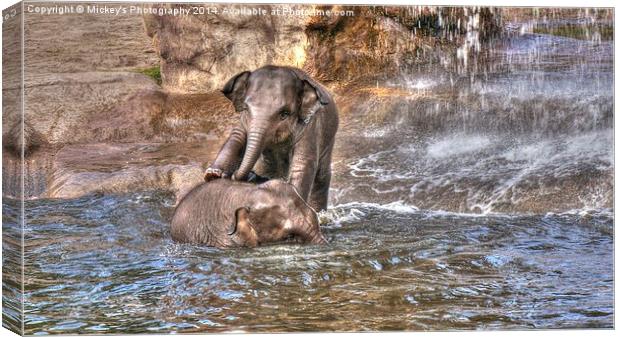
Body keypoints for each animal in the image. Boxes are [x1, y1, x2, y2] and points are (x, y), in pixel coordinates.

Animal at [203, 64, 340, 211]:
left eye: (284, 114)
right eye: (246, 108)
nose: (235, 175)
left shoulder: (310, 126)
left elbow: (303, 162)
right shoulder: (244, 121)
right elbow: (236, 138)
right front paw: (213, 175)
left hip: (329, 139)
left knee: (321, 177)